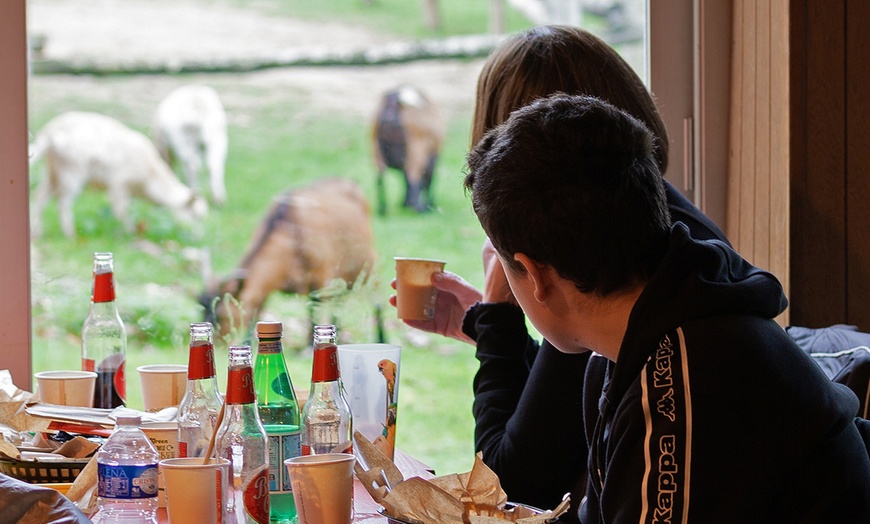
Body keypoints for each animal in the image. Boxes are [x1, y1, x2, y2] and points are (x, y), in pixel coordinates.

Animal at [30, 113, 209, 241]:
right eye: (194, 215)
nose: (198, 238)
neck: (149, 181)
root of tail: (47, 134)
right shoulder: (118, 183)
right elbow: (121, 210)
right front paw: (127, 233)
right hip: (71, 171)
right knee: (63, 202)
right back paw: (70, 234)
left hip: (54, 170)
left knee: (40, 195)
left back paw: (37, 232)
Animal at [204, 178, 382, 338]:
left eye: (222, 315)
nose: (219, 343)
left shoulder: (320, 278)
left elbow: (314, 312)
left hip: (368, 263)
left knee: (376, 299)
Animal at [372, 85, 446, 216]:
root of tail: (393, 101)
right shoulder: (432, 157)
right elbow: (427, 180)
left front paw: (405, 203)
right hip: (415, 149)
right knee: (414, 177)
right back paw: (419, 209)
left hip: (376, 150)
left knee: (380, 178)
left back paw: (383, 210)